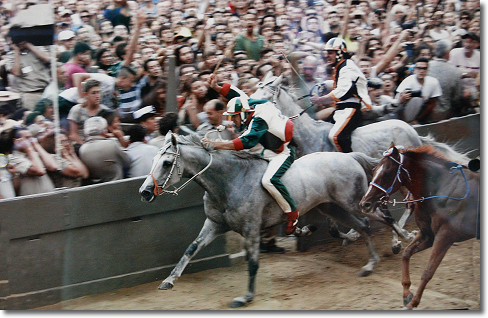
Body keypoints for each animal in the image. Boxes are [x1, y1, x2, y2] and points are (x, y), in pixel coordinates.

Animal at [140, 134, 382, 308]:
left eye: (166, 163)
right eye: (153, 160)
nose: (145, 192)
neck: (231, 181)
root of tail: (350, 156)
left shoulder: (251, 228)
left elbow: (253, 263)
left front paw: (246, 297)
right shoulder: (215, 224)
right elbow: (191, 248)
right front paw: (169, 280)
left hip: (355, 202)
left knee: (377, 219)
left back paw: (382, 254)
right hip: (332, 207)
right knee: (360, 226)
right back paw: (361, 255)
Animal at [358, 143, 480, 310]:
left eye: (387, 172)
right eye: (375, 169)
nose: (365, 203)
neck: (442, 191)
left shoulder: (445, 236)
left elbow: (428, 271)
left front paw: (413, 302)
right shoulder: (428, 235)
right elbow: (406, 254)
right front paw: (406, 294)